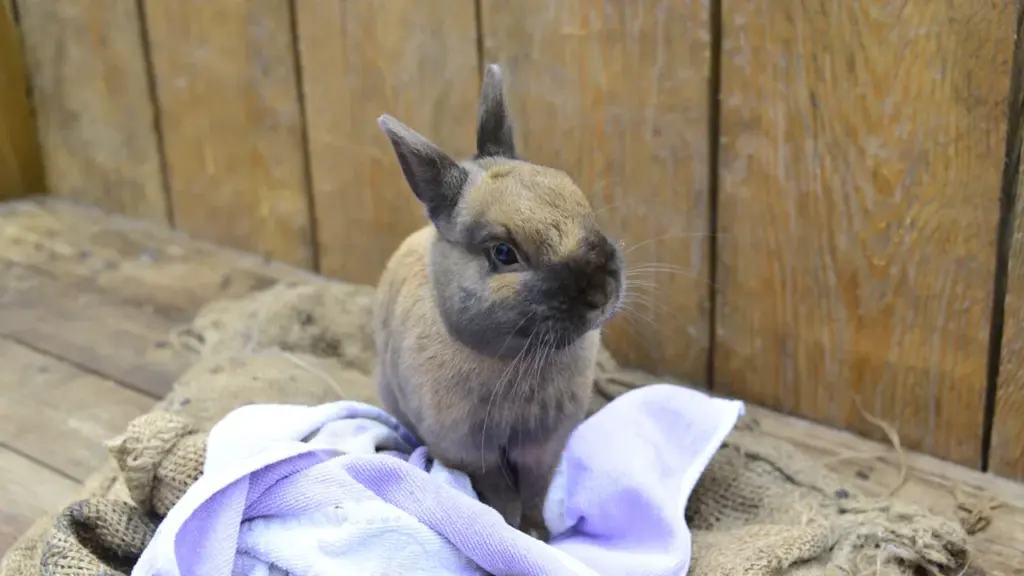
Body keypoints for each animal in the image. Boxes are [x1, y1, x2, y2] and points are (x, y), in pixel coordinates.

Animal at [373, 63, 623, 540]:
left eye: (578, 199)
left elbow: (536, 491)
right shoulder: (471, 451)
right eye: (504, 253)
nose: (601, 294)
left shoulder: (543, 447)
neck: (513, 358)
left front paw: (539, 534)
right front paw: (515, 534)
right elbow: (502, 495)